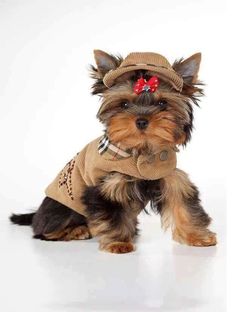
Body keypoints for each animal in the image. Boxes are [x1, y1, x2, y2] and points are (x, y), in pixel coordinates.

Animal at [11, 49, 218, 254]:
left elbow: (184, 204)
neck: (141, 150)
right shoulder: (107, 185)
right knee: (45, 229)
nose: (141, 121)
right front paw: (118, 242)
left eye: (163, 104)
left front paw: (197, 236)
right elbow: (112, 215)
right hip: (61, 208)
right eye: (124, 104)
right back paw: (77, 230)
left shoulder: (171, 177)